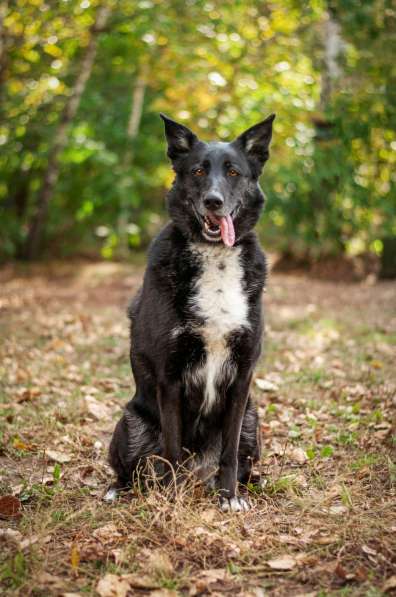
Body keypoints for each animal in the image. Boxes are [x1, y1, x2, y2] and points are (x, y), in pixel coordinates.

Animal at [106, 113, 276, 512]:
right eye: (198, 170)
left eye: (233, 172)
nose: (214, 201)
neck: (215, 256)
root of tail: (199, 472)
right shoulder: (170, 377)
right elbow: (172, 449)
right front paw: (171, 503)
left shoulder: (243, 377)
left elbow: (229, 453)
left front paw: (229, 498)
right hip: (131, 422)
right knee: (132, 470)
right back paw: (120, 490)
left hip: (253, 418)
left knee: (241, 463)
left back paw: (245, 485)